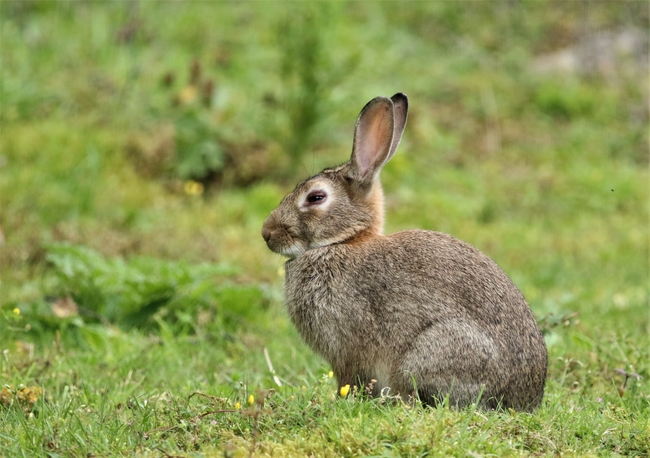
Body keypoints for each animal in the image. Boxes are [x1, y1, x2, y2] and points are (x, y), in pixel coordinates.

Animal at [260, 93, 544, 412]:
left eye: (316, 197)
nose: (267, 233)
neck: (342, 242)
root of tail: (524, 399)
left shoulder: (347, 349)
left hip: (433, 352)